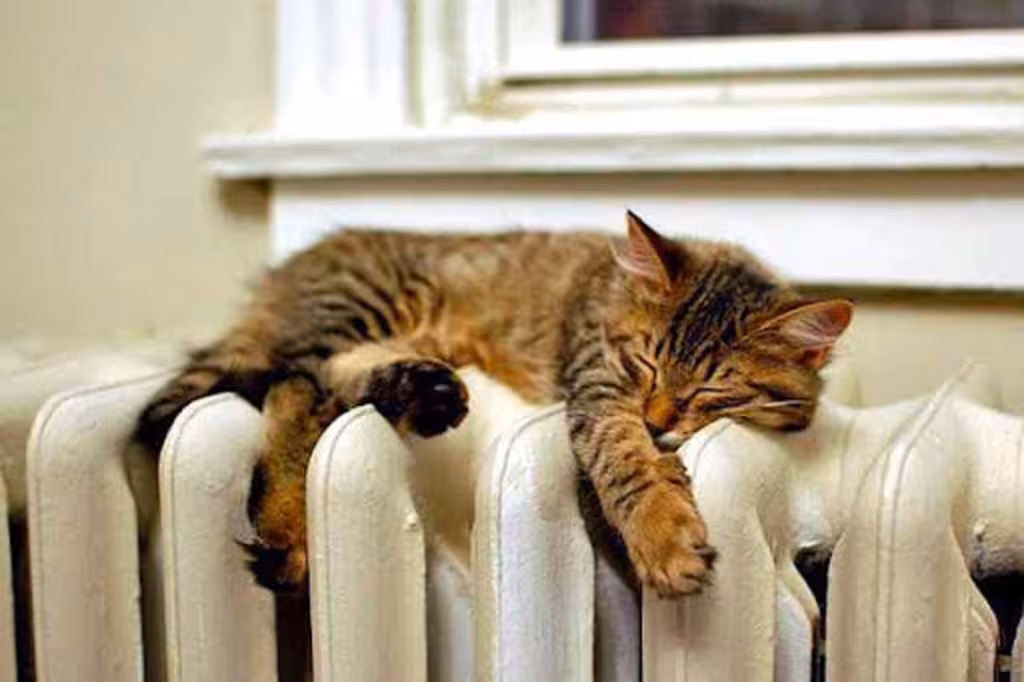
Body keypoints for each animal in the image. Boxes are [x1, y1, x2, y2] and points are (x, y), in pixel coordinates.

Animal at [136, 211, 852, 598]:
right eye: (645, 363)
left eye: (709, 391)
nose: (657, 420)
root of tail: (284, 274)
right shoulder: (596, 387)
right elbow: (623, 461)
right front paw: (663, 536)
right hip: (354, 312)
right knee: (293, 386)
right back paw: (290, 532)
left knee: (325, 381)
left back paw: (418, 390)